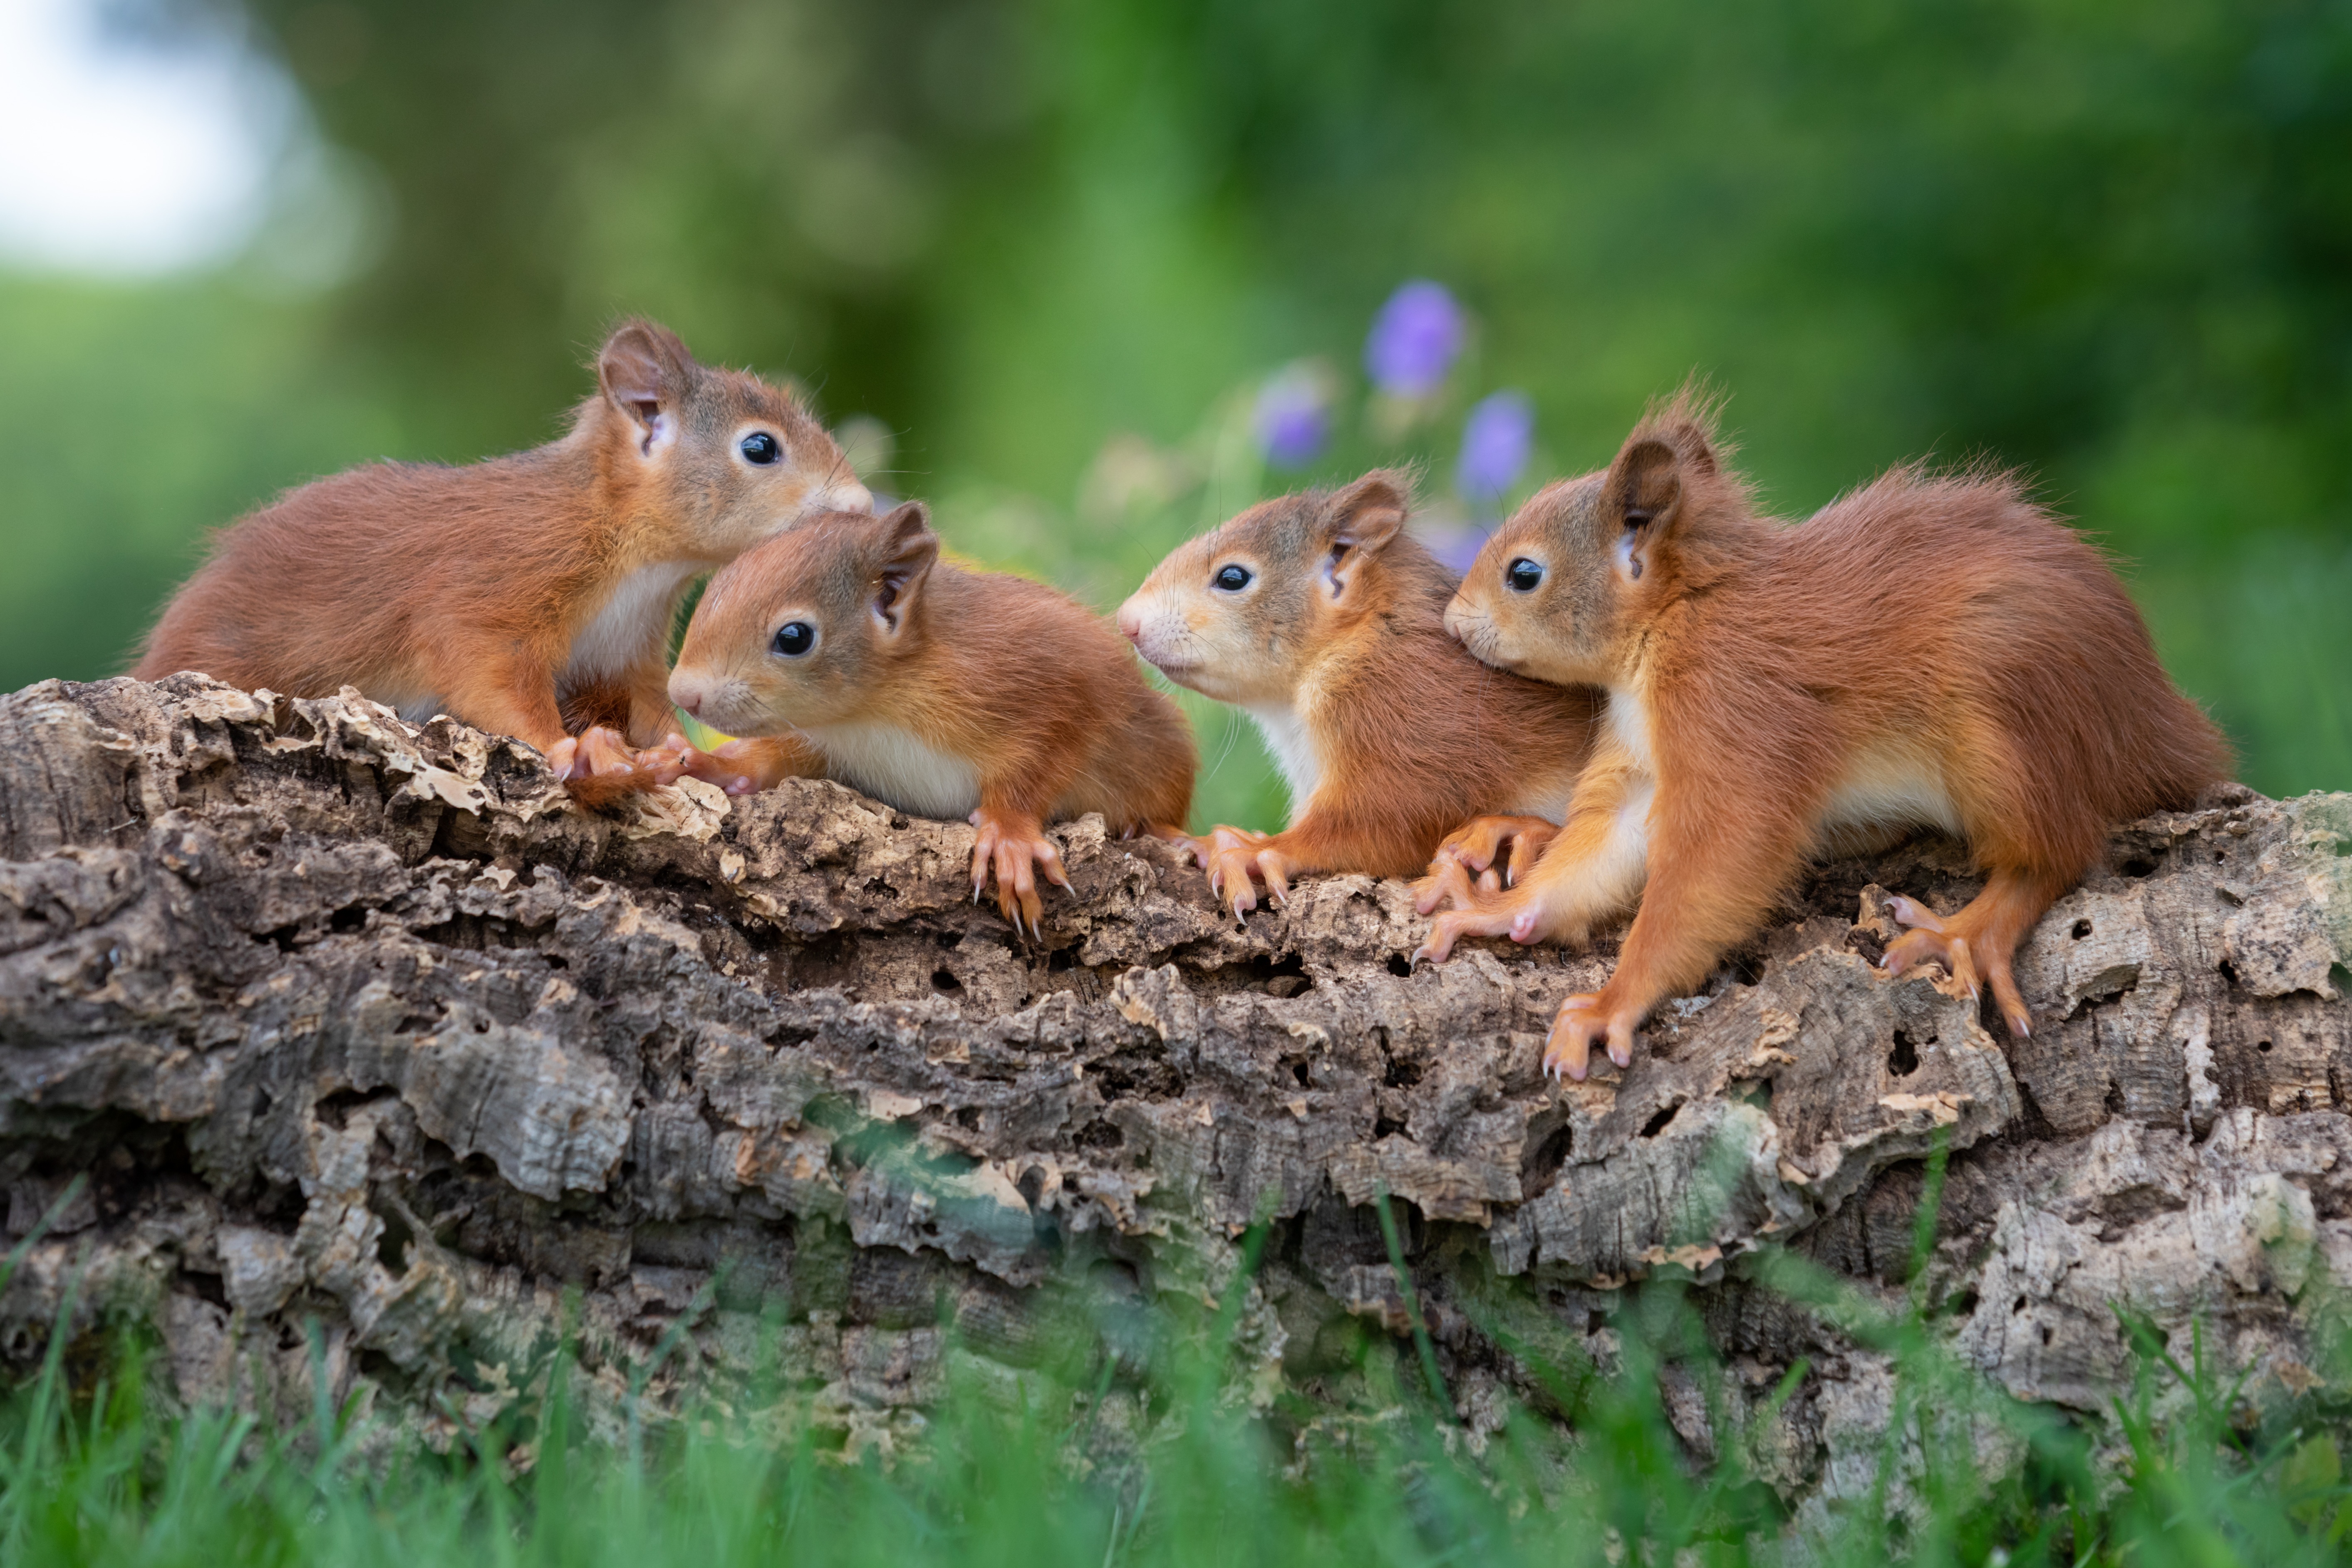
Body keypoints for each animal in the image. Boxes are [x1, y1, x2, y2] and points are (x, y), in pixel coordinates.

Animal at [131, 327, 865, 804]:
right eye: (760, 448)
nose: (861, 505)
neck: (639, 561)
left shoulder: (629, 653)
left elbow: (653, 707)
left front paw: (693, 754)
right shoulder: (497, 581)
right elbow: (487, 670)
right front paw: (566, 747)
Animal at [663, 503, 1195, 931]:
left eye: (795, 637)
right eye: (718, 583)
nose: (682, 693)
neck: (873, 714)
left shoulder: (1050, 686)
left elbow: (1045, 757)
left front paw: (1009, 834)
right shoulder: (825, 740)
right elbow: (777, 759)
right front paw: (715, 764)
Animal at [1115, 472, 1599, 926]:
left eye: (1232, 577)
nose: (1126, 621)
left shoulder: (1412, 717)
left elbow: (1382, 822)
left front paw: (1256, 852)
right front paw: (1220, 840)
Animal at [1402, 395, 2230, 1081]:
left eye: (1524, 574)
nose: (1451, 624)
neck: (1677, 618)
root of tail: (2160, 727)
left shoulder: (1738, 712)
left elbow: (1713, 866)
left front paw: (1613, 1002)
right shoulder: (1642, 762)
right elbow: (1598, 852)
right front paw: (1498, 910)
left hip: (2008, 732)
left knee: (2057, 852)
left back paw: (1965, 933)